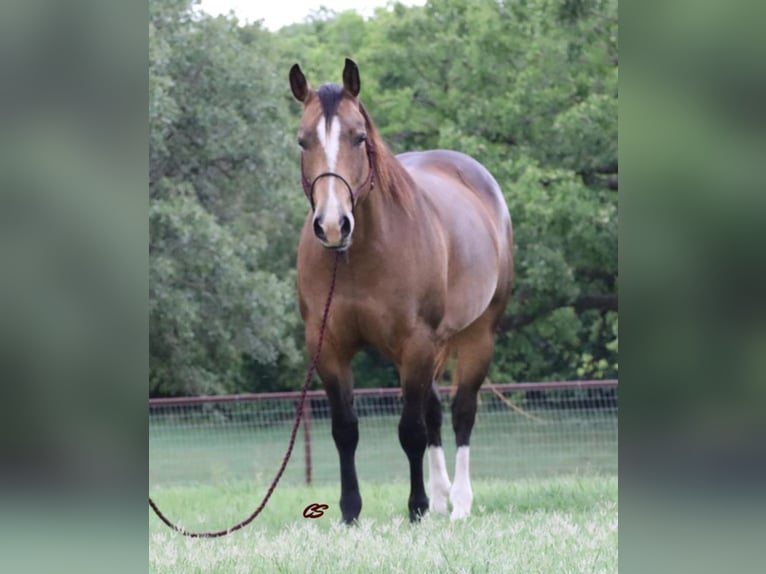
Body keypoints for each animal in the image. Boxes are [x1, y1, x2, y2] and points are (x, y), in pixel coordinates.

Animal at [292, 60, 512, 524]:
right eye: (303, 141)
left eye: (359, 136)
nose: (333, 225)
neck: (359, 256)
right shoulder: (328, 348)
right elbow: (346, 430)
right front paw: (350, 512)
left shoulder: (416, 344)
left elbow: (410, 430)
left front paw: (417, 507)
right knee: (434, 412)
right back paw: (444, 496)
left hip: (476, 337)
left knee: (462, 413)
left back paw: (459, 503)